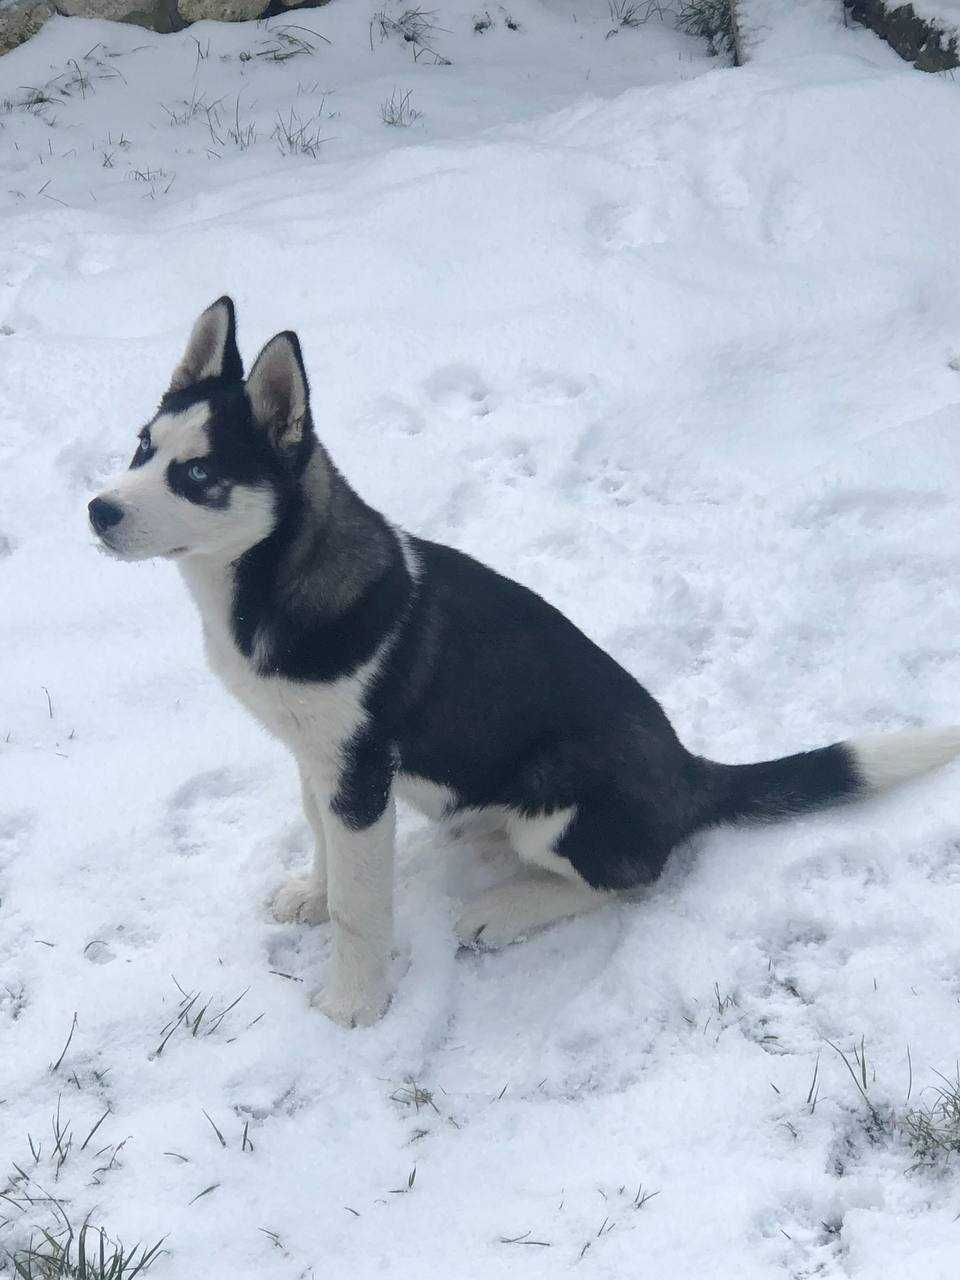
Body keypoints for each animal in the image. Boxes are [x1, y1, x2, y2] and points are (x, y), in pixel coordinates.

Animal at [90, 294, 960, 1024]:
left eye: (198, 474)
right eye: (142, 447)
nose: (97, 511)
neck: (263, 582)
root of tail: (687, 769)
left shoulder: (361, 775)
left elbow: (362, 909)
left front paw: (353, 1008)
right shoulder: (319, 758)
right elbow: (322, 841)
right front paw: (312, 892)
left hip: (558, 800)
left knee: (632, 876)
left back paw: (503, 908)